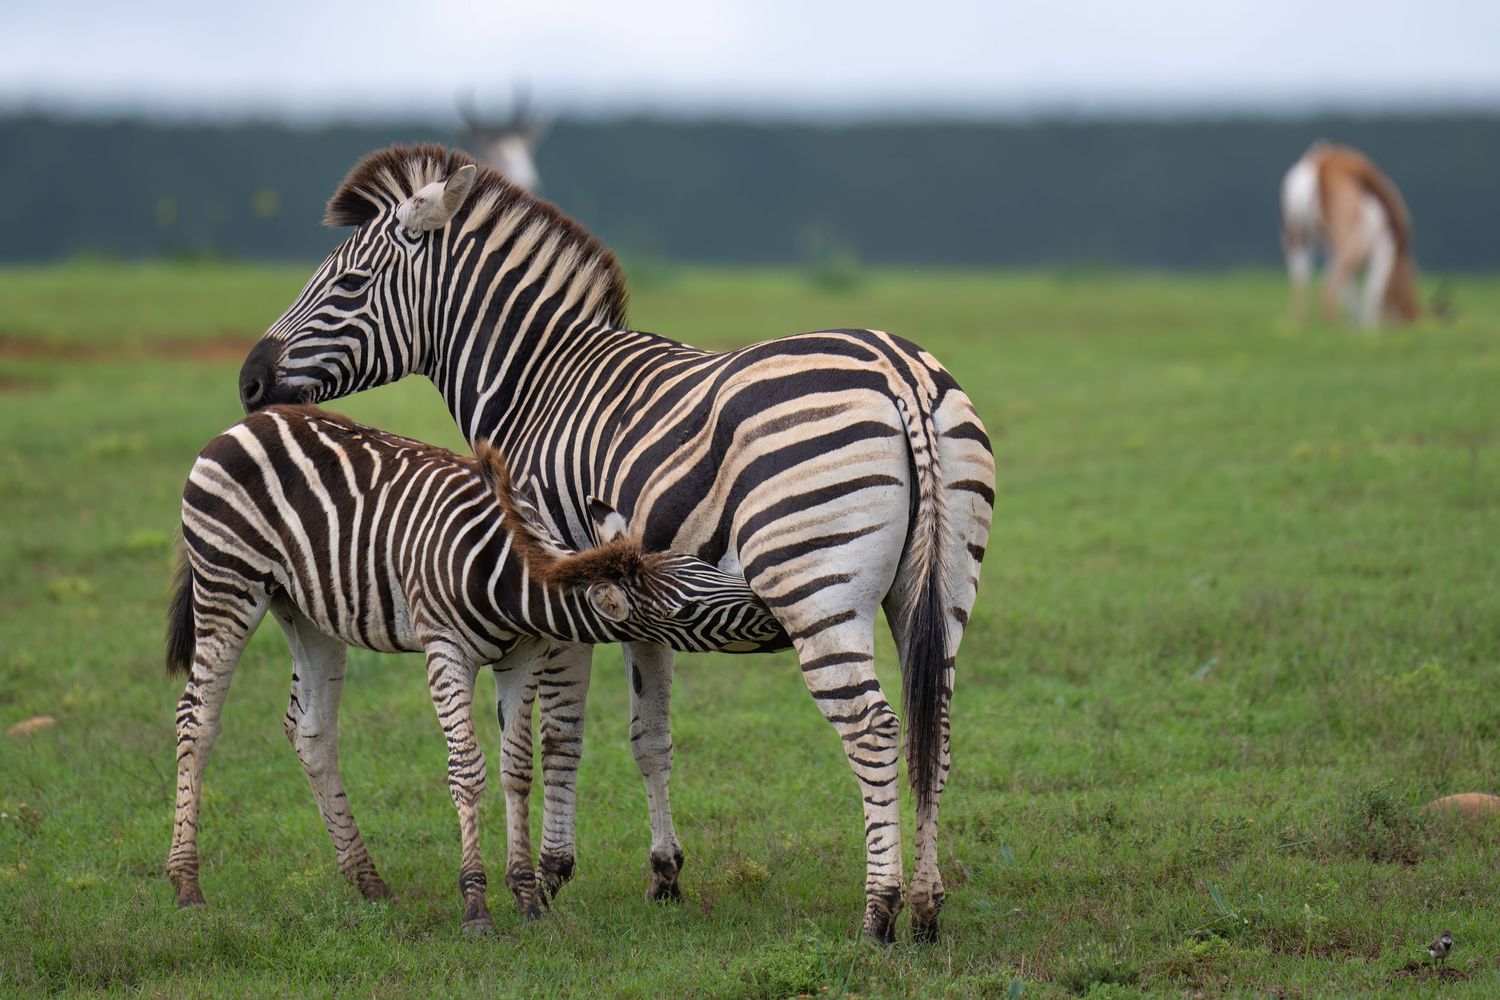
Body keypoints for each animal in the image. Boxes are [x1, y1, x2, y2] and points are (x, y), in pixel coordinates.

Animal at [165, 403, 786, 932]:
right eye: (686, 609)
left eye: (704, 568)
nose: (776, 613)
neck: (510, 577)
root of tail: (248, 422)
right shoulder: (446, 650)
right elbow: (467, 770)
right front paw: (476, 904)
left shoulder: (523, 657)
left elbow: (517, 768)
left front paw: (527, 896)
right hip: (228, 583)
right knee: (197, 719)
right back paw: (187, 887)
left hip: (307, 609)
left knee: (311, 730)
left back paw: (368, 882)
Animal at [237, 144, 995, 943]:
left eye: (348, 284)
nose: (249, 381)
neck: (535, 382)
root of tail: (899, 371)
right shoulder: (641, 600)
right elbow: (649, 735)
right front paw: (664, 874)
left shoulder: (551, 579)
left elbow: (558, 734)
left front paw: (547, 875)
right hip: (939, 589)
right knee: (935, 731)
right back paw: (927, 904)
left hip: (814, 586)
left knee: (875, 731)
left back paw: (880, 910)